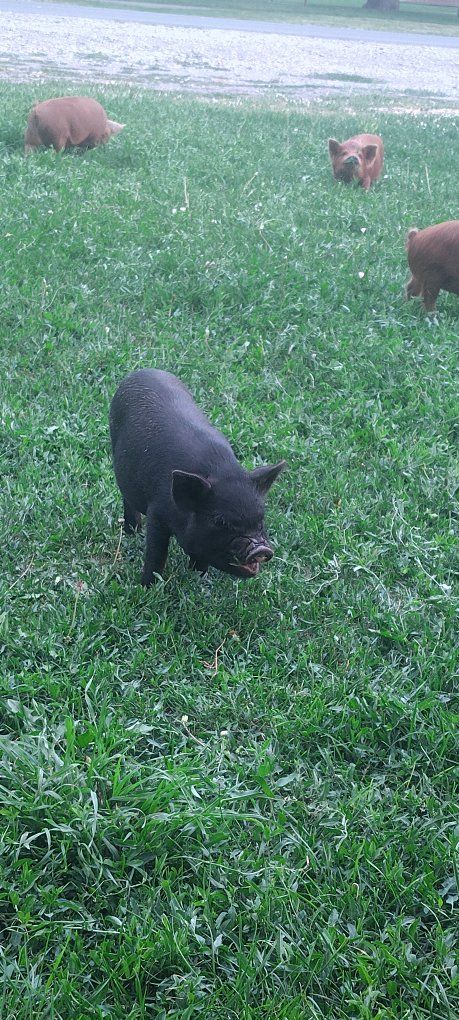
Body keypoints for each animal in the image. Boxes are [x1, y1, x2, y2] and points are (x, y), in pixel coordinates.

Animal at [109, 369, 286, 586]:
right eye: (220, 522)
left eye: (260, 520)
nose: (260, 548)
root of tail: (142, 371)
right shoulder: (156, 512)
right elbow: (156, 554)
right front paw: (146, 586)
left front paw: (199, 576)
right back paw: (132, 532)